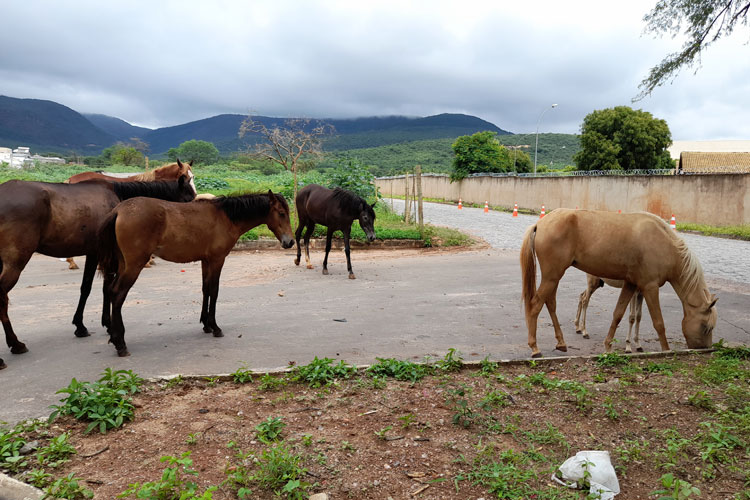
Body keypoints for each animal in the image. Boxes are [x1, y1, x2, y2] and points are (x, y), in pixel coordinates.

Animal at [0, 175, 197, 368]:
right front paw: (104, 325)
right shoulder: (101, 254)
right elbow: (98, 288)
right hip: (15, 262)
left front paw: (86, 325)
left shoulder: (96, 254)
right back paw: (12, 347)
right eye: (188, 199)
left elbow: (93, 288)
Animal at [99, 189, 296, 358]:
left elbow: (205, 289)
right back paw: (120, 343)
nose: (290, 242)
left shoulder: (205, 261)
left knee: (111, 291)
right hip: (134, 265)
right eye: (281, 213)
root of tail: (119, 210)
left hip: (124, 264)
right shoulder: (217, 260)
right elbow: (214, 291)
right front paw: (215, 327)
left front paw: (206, 325)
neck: (225, 217)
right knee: (117, 294)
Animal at [520, 209, 720, 358]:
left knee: (550, 303)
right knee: (536, 305)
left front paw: (608, 346)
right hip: (552, 276)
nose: (704, 350)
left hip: (554, 277)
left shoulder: (630, 285)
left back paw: (561, 343)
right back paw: (535, 347)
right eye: (706, 327)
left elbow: (618, 314)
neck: (665, 244)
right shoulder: (650, 287)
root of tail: (540, 224)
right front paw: (666, 351)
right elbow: (658, 323)